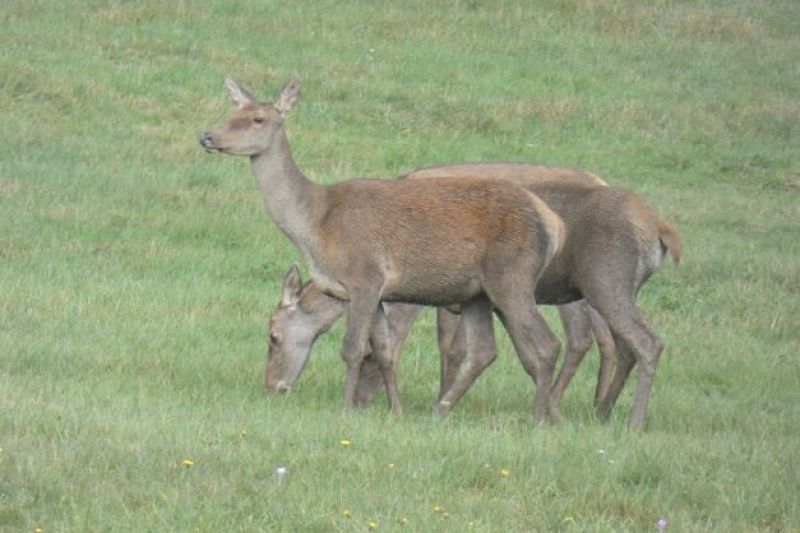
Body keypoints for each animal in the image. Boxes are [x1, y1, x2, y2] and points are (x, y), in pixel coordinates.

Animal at [198, 77, 568, 422]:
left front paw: (345, 409)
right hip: (477, 294)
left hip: (512, 276)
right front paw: (396, 411)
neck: (318, 225)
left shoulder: (363, 276)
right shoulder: (377, 293)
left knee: (547, 344)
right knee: (485, 351)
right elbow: (385, 351)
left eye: (257, 118)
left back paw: (537, 418)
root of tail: (553, 224)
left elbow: (352, 348)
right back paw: (440, 411)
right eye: (232, 112)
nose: (207, 136)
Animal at [260, 162, 680, 428]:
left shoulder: (430, 296)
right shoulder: (466, 299)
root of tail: (661, 229)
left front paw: (437, 400)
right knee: (616, 343)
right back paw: (600, 410)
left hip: (597, 283)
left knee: (606, 341)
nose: (272, 386)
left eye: (274, 336)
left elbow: (447, 347)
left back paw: (618, 417)